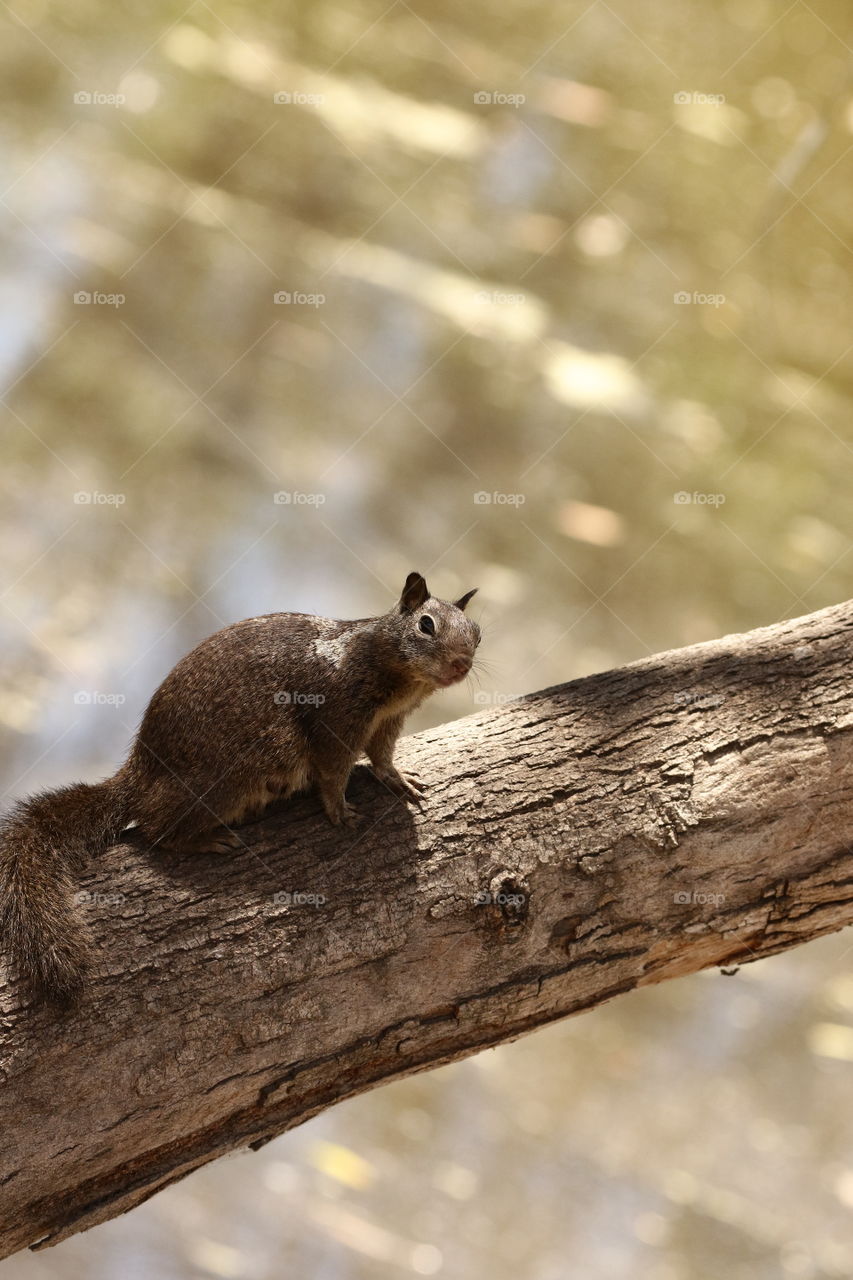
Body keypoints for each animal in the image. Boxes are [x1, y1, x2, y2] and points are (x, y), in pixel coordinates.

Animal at [0, 573, 479, 1008]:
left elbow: (381, 756)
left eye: (476, 632)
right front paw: (339, 809)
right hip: (232, 776)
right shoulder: (336, 721)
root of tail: (139, 776)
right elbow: (332, 772)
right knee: (155, 828)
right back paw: (204, 839)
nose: (461, 664)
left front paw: (397, 778)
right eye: (426, 625)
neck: (380, 660)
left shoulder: (387, 721)